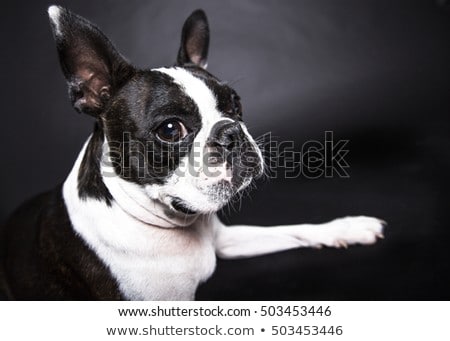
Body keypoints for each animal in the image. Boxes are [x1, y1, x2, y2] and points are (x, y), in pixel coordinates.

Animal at [0, 4, 386, 298]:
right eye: (171, 130)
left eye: (236, 105)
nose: (231, 132)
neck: (168, 225)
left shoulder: (225, 240)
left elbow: (292, 229)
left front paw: (347, 228)